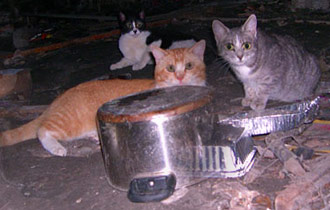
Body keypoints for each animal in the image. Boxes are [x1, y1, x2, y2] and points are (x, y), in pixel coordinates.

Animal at [0, 40, 206, 157]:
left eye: (188, 66)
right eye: (170, 68)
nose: (180, 78)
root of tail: (55, 102)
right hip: (67, 123)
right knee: (42, 131)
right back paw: (57, 148)